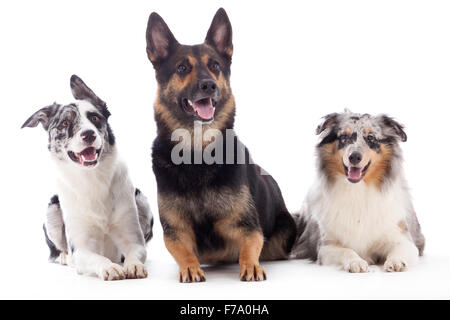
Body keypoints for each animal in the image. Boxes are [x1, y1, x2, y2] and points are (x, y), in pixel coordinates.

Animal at [22, 75, 153, 280]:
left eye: (95, 118)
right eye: (65, 123)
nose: (88, 134)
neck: (93, 179)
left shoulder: (134, 240)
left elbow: (134, 252)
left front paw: (134, 265)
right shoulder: (81, 249)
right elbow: (97, 258)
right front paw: (109, 267)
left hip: (141, 200)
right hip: (52, 208)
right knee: (57, 251)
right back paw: (64, 257)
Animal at [146, 8, 298, 282]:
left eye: (215, 65)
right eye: (182, 67)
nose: (209, 85)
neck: (197, 156)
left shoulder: (248, 227)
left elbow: (250, 245)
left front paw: (250, 265)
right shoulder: (175, 231)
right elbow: (182, 250)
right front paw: (189, 266)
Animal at [292, 110, 426, 272]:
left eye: (371, 138)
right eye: (343, 137)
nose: (354, 156)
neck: (357, 190)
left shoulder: (404, 239)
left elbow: (400, 249)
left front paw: (396, 261)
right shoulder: (326, 246)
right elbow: (347, 250)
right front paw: (355, 262)